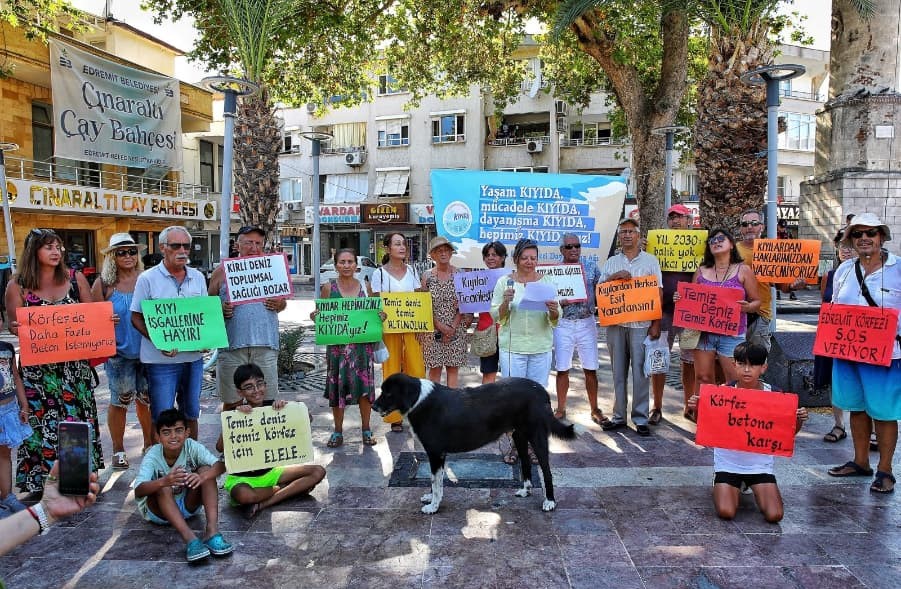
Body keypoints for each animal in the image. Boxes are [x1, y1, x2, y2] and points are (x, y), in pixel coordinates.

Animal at [370, 374, 568, 512]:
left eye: (388, 393)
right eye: (383, 390)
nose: (373, 406)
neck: (418, 398)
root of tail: (541, 390)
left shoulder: (435, 452)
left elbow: (436, 482)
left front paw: (433, 507)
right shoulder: (438, 455)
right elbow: (435, 480)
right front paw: (431, 498)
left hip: (537, 437)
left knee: (547, 471)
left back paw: (550, 502)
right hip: (519, 436)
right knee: (526, 462)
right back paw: (525, 490)